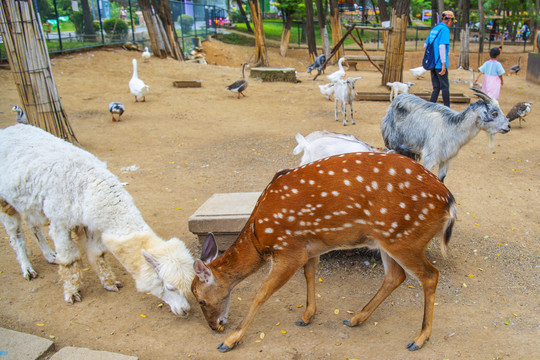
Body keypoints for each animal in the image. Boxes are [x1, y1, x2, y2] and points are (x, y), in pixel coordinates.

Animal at [0, 125, 194, 316]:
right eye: (169, 287)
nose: (185, 310)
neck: (88, 189)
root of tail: (8, 129)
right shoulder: (60, 222)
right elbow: (70, 260)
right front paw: (72, 293)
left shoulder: (90, 225)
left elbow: (97, 254)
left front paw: (110, 283)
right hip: (5, 201)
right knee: (15, 235)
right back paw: (28, 269)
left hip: (29, 203)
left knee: (33, 226)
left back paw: (50, 255)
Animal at [192, 152, 458, 352]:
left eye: (201, 300)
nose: (215, 326)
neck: (259, 236)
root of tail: (449, 201)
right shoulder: (311, 247)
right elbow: (310, 274)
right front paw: (307, 316)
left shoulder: (289, 249)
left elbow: (261, 293)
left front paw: (230, 341)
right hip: (387, 240)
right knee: (395, 276)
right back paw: (355, 318)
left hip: (404, 238)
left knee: (430, 275)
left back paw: (419, 338)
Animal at [380, 88, 510, 181]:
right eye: (494, 113)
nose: (508, 127)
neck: (451, 128)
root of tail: (397, 98)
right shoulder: (430, 157)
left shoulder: (447, 159)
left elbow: (441, 179)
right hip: (392, 142)